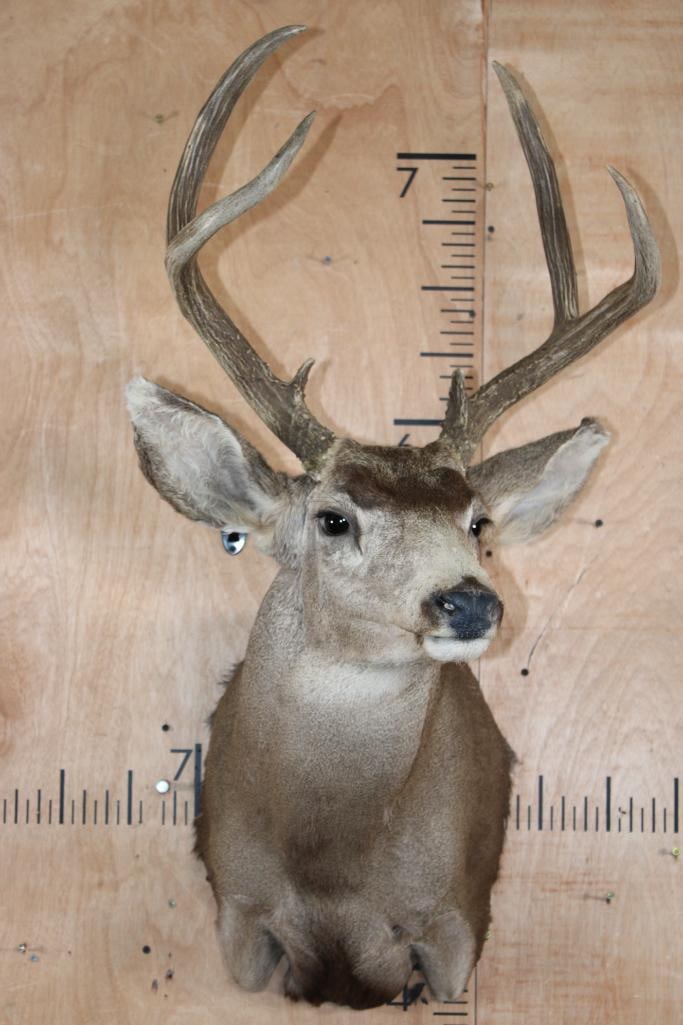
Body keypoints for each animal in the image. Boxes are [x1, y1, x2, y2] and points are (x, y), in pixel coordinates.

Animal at [126, 25, 659, 1011]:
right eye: (333, 519)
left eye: (478, 519)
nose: (470, 601)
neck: (334, 865)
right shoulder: (239, 916)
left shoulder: (451, 923)